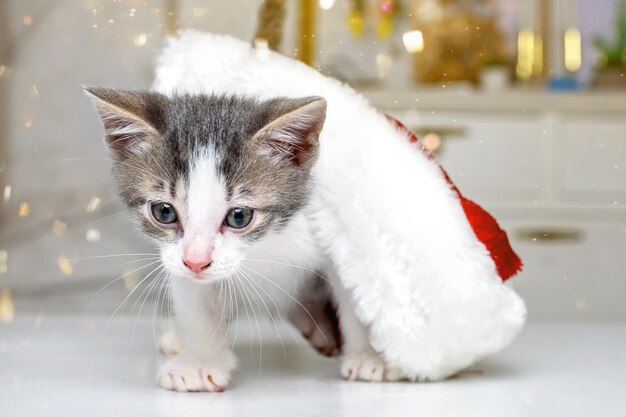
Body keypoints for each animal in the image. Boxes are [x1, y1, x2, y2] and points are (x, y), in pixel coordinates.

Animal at [86, 87, 400, 390]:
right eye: (163, 211)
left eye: (239, 216)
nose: (196, 262)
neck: (264, 246)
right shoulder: (179, 259)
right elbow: (197, 301)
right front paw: (199, 362)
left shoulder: (334, 231)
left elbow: (358, 291)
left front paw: (373, 355)